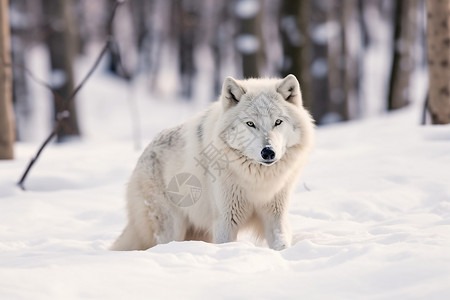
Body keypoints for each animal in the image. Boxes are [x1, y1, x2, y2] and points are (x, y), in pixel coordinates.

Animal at [110, 74, 314, 250]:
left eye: (278, 122)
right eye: (250, 124)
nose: (268, 152)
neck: (258, 181)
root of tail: (142, 158)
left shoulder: (275, 216)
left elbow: (281, 243)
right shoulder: (225, 219)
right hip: (172, 228)